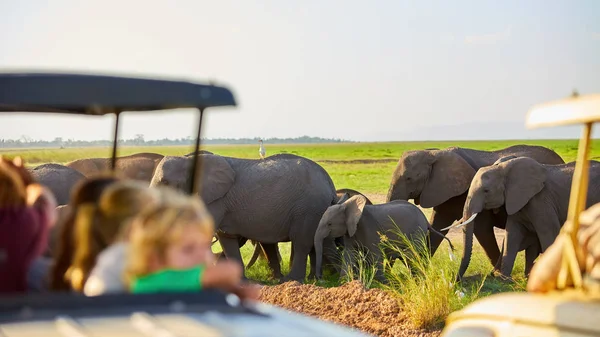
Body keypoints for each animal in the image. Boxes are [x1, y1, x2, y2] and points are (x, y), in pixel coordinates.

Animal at [150, 153, 338, 280]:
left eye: (165, 182)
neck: (188, 159)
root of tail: (329, 181)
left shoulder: (215, 200)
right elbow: (226, 239)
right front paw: (239, 281)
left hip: (308, 208)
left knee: (302, 242)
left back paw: (291, 281)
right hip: (319, 210)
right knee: (323, 243)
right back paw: (328, 279)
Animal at [314, 193, 450, 280]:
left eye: (329, 224)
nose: (320, 279)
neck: (348, 206)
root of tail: (425, 220)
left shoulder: (370, 229)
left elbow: (375, 255)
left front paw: (383, 284)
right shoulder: (350, 231)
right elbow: (349, 254)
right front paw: (343, 283)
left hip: (417, 231)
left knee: (412, 255)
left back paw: (418, 279)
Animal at [386, 144, 564, 276]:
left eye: (409, 178)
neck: (434, 153)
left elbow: (482, 229)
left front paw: (495, 274)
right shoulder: (442, 191)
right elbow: (437, 225)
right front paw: (420, 268)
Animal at [450, 158, 600, 278]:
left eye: (486, 191)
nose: (456, 279)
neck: (503, 169)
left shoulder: (541, 201)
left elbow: (549, 233)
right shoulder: (516, 200)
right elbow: (512, 235)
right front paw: (504, 278)